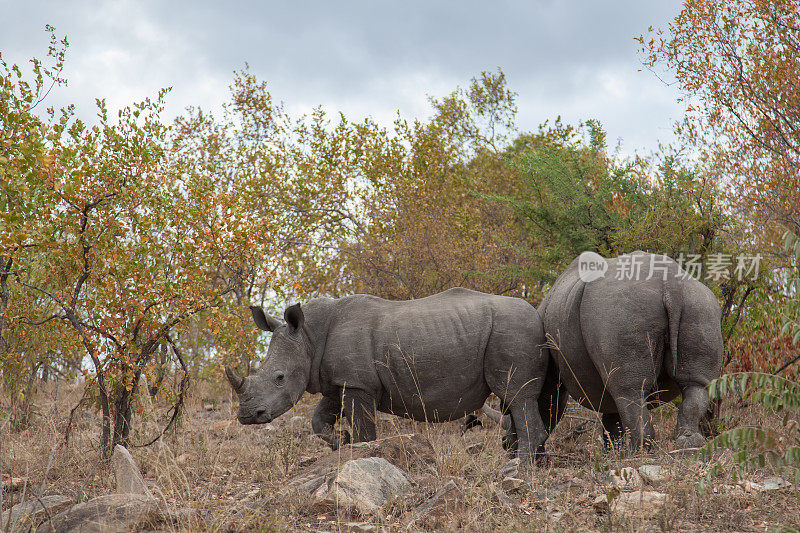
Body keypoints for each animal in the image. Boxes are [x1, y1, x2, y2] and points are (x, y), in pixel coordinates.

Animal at [228, 286, 560, 462]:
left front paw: (359, 450)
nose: (247, 416)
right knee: (514, 402)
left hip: (513, 330)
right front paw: (342, 440)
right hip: (513, 331)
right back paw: (515, 457)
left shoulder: (358, 384)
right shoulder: (339, 382)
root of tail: (538, 312)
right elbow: (318, 420)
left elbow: (365, 429)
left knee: (517, 396)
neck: (309, 336)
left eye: (279, 377)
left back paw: (519, 467)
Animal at [540, 251, 720, 446]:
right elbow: (612, 420)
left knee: (630, 391)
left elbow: (550, 400)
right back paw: (687, 445)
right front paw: (614, 449)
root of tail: (671, 284)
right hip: (700, 306)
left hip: (621, 312)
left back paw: (638, 450)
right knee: (695, 385)